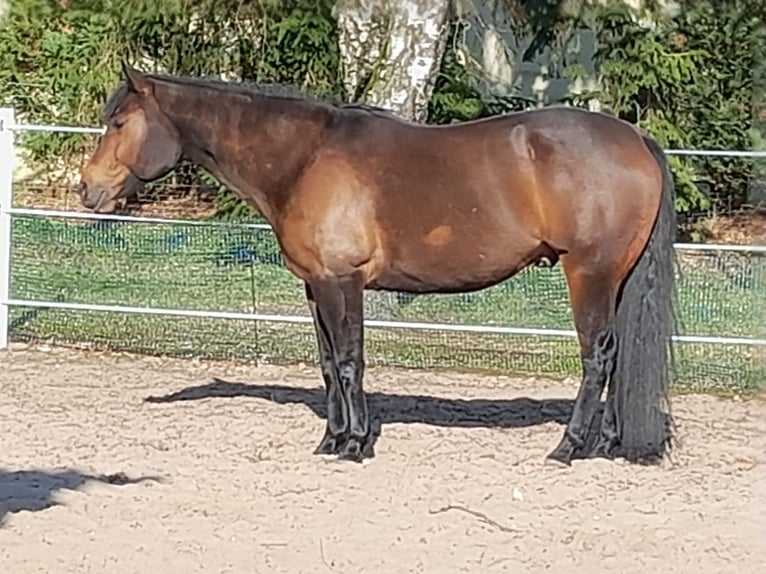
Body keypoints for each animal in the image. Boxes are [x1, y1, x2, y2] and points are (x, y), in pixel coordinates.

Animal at [77, 63, 677, 466]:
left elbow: (349, 361)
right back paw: (607, 444)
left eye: (119, 122)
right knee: (618, 355)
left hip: (588, 275)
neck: (304, 158)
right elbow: (326, 365)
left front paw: (355, 444)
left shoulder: (342, 282)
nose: (87, 188)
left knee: (598, 356)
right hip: (616, 279)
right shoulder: (315, 286)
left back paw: (568, 447)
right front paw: (330, 439)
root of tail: (636, 138)